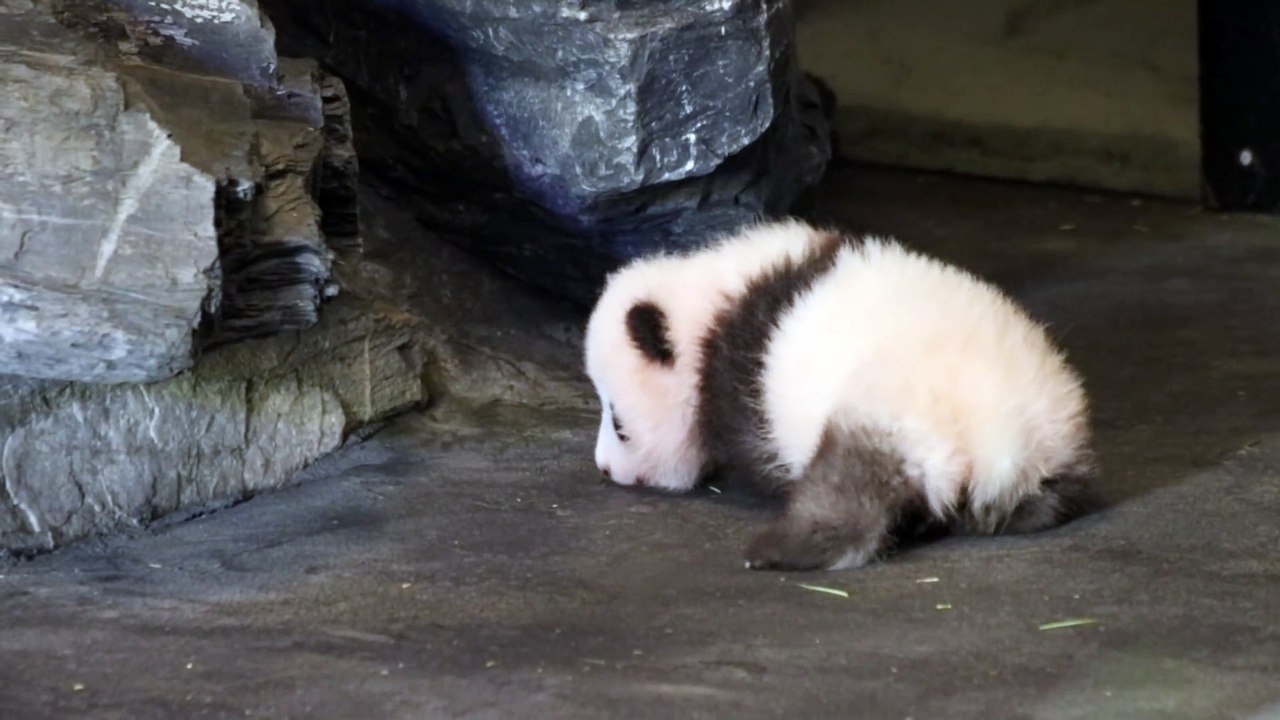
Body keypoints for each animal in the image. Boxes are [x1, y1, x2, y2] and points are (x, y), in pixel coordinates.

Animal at [583, 219, 1098, 571]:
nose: (604, 468)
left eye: (620, 425)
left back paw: (785, 548)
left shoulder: (739, 376)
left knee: (850, 490)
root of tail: (1004, 444)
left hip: (900, 412)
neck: (711, 306)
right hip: (1045, 451)